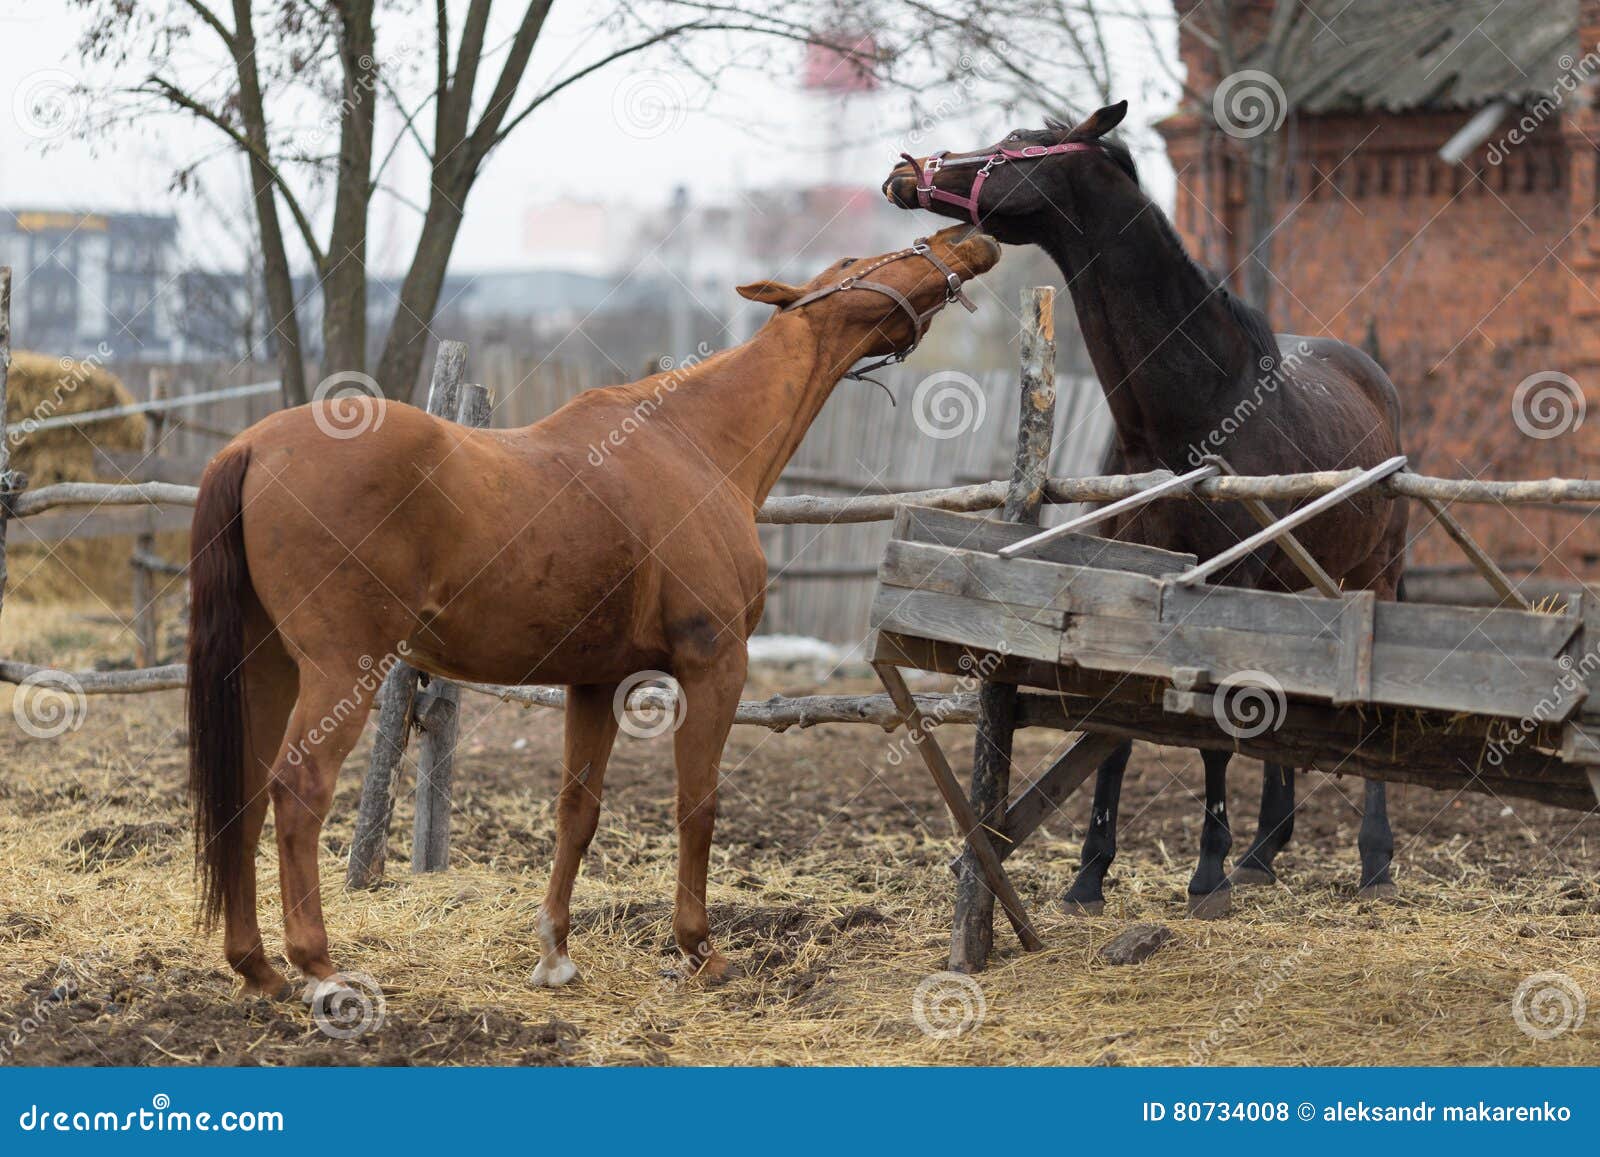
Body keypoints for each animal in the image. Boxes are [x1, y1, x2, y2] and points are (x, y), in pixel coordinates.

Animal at [186, 226, 1001, 998]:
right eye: (860, 258)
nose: (966, 238)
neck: (695, 444)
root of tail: (252, 446)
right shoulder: (715, 665)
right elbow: (697, 806)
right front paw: (699, 950)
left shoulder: (597, 681)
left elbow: (576, 812)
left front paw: (554, 953)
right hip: (338, 671)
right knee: (298, 792)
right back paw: (319, 966)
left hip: (268, 667)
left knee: (247, 794)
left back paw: (256, 966)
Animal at [883, 103, 1407, 917]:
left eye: (1016, 146)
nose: (906, 174)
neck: (1190, 412)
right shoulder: (1129, 577)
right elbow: (1120, 728)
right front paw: (1090, 876)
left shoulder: (1225, 582)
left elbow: (1213, 732)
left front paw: (1208, 876)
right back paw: (1264, 850)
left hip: (1374, 573)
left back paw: (1372, 861)